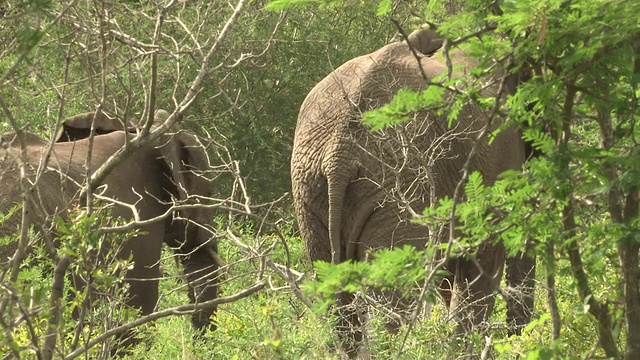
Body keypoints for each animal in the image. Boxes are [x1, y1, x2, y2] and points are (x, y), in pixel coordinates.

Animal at [292, 28, 536, 358]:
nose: (519, 341)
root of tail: (338, 155)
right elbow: (482, 264)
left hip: (311, 188)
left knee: (335, 297)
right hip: (397, 185)